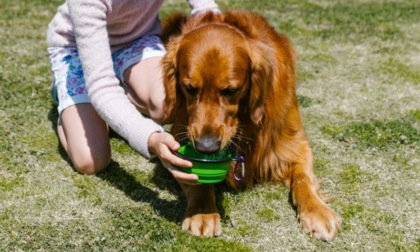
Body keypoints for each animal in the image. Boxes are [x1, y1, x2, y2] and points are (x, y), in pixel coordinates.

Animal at [161, 10, 342, 241]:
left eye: (231, 91)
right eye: (189, 88)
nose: (206, 147)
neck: (244, 123)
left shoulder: (295, 144)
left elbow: (303, 178)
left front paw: (316, 211)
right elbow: (195, 180)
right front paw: (202, 212)